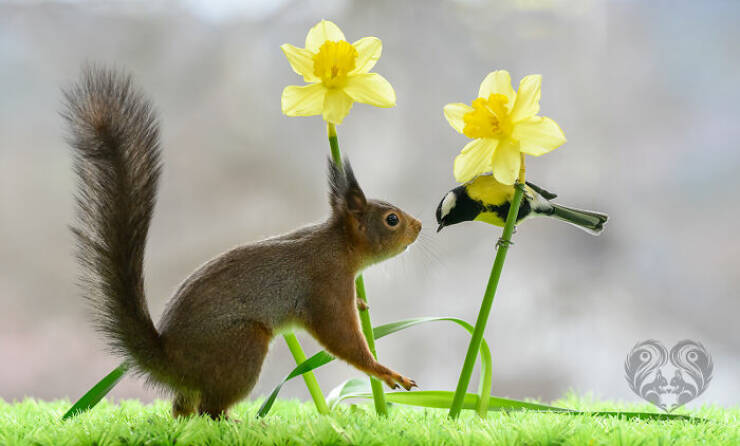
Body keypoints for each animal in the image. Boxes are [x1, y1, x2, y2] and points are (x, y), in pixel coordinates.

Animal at [63, 67, 421, 419]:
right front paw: (385, 372)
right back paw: (240, 423)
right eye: (391, 219)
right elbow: (341, 338)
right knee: (210, 410)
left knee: (183, 408)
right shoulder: (325, 287)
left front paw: (361, 304)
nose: (418, 226)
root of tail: (171, 360)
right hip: (244, 346)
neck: (338, 246)